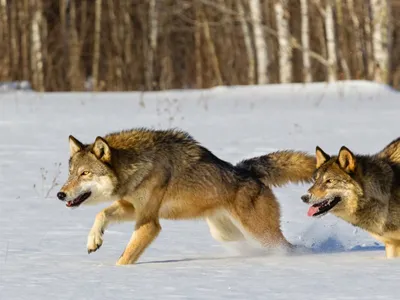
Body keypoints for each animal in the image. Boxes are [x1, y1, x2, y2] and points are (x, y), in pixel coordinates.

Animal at [57, 127, 316, 264]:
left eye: (85, 173)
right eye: (70, 173)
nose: (60, 194)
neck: (137, 165)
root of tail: (247, 170)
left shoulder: (149, 223)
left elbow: (126, 256)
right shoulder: (132, 208)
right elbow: (101, 214)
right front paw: (94, 240)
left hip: (260, 232)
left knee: (286, 247)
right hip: (225, 233)